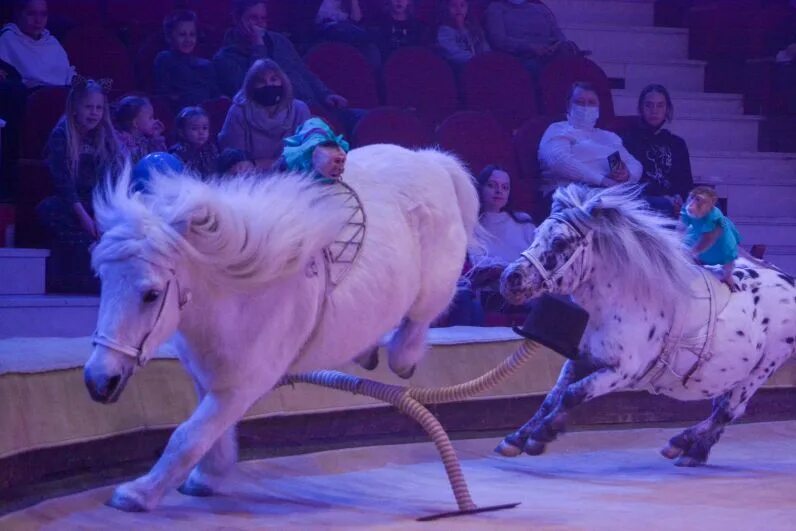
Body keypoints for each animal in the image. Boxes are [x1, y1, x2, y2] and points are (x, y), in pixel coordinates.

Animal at [82, 144, 478, 512]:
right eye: (100, 279)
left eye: (151, 294)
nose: (98, 381)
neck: (239, 292)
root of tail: (430, 160)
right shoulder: (209, 378)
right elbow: (210, 436)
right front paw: (208, 477)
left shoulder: (241, 387)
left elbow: (188, 437)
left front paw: (137, 494)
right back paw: (367, 353)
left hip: (433, 288)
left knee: (417, 323)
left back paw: (401, 357)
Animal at [494, 185, 792, 468]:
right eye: (536, 233)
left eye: (559, 241)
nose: (511, 279)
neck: (623, 301)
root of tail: (789, 281)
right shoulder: (582, 360)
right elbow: (551, 398)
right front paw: (514, 440)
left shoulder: (624, 372)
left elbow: (571, 395)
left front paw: (543, 435)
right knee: (727, 409)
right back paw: (693, 452)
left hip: (762, 368)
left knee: (728, 410)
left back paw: (679, 443)